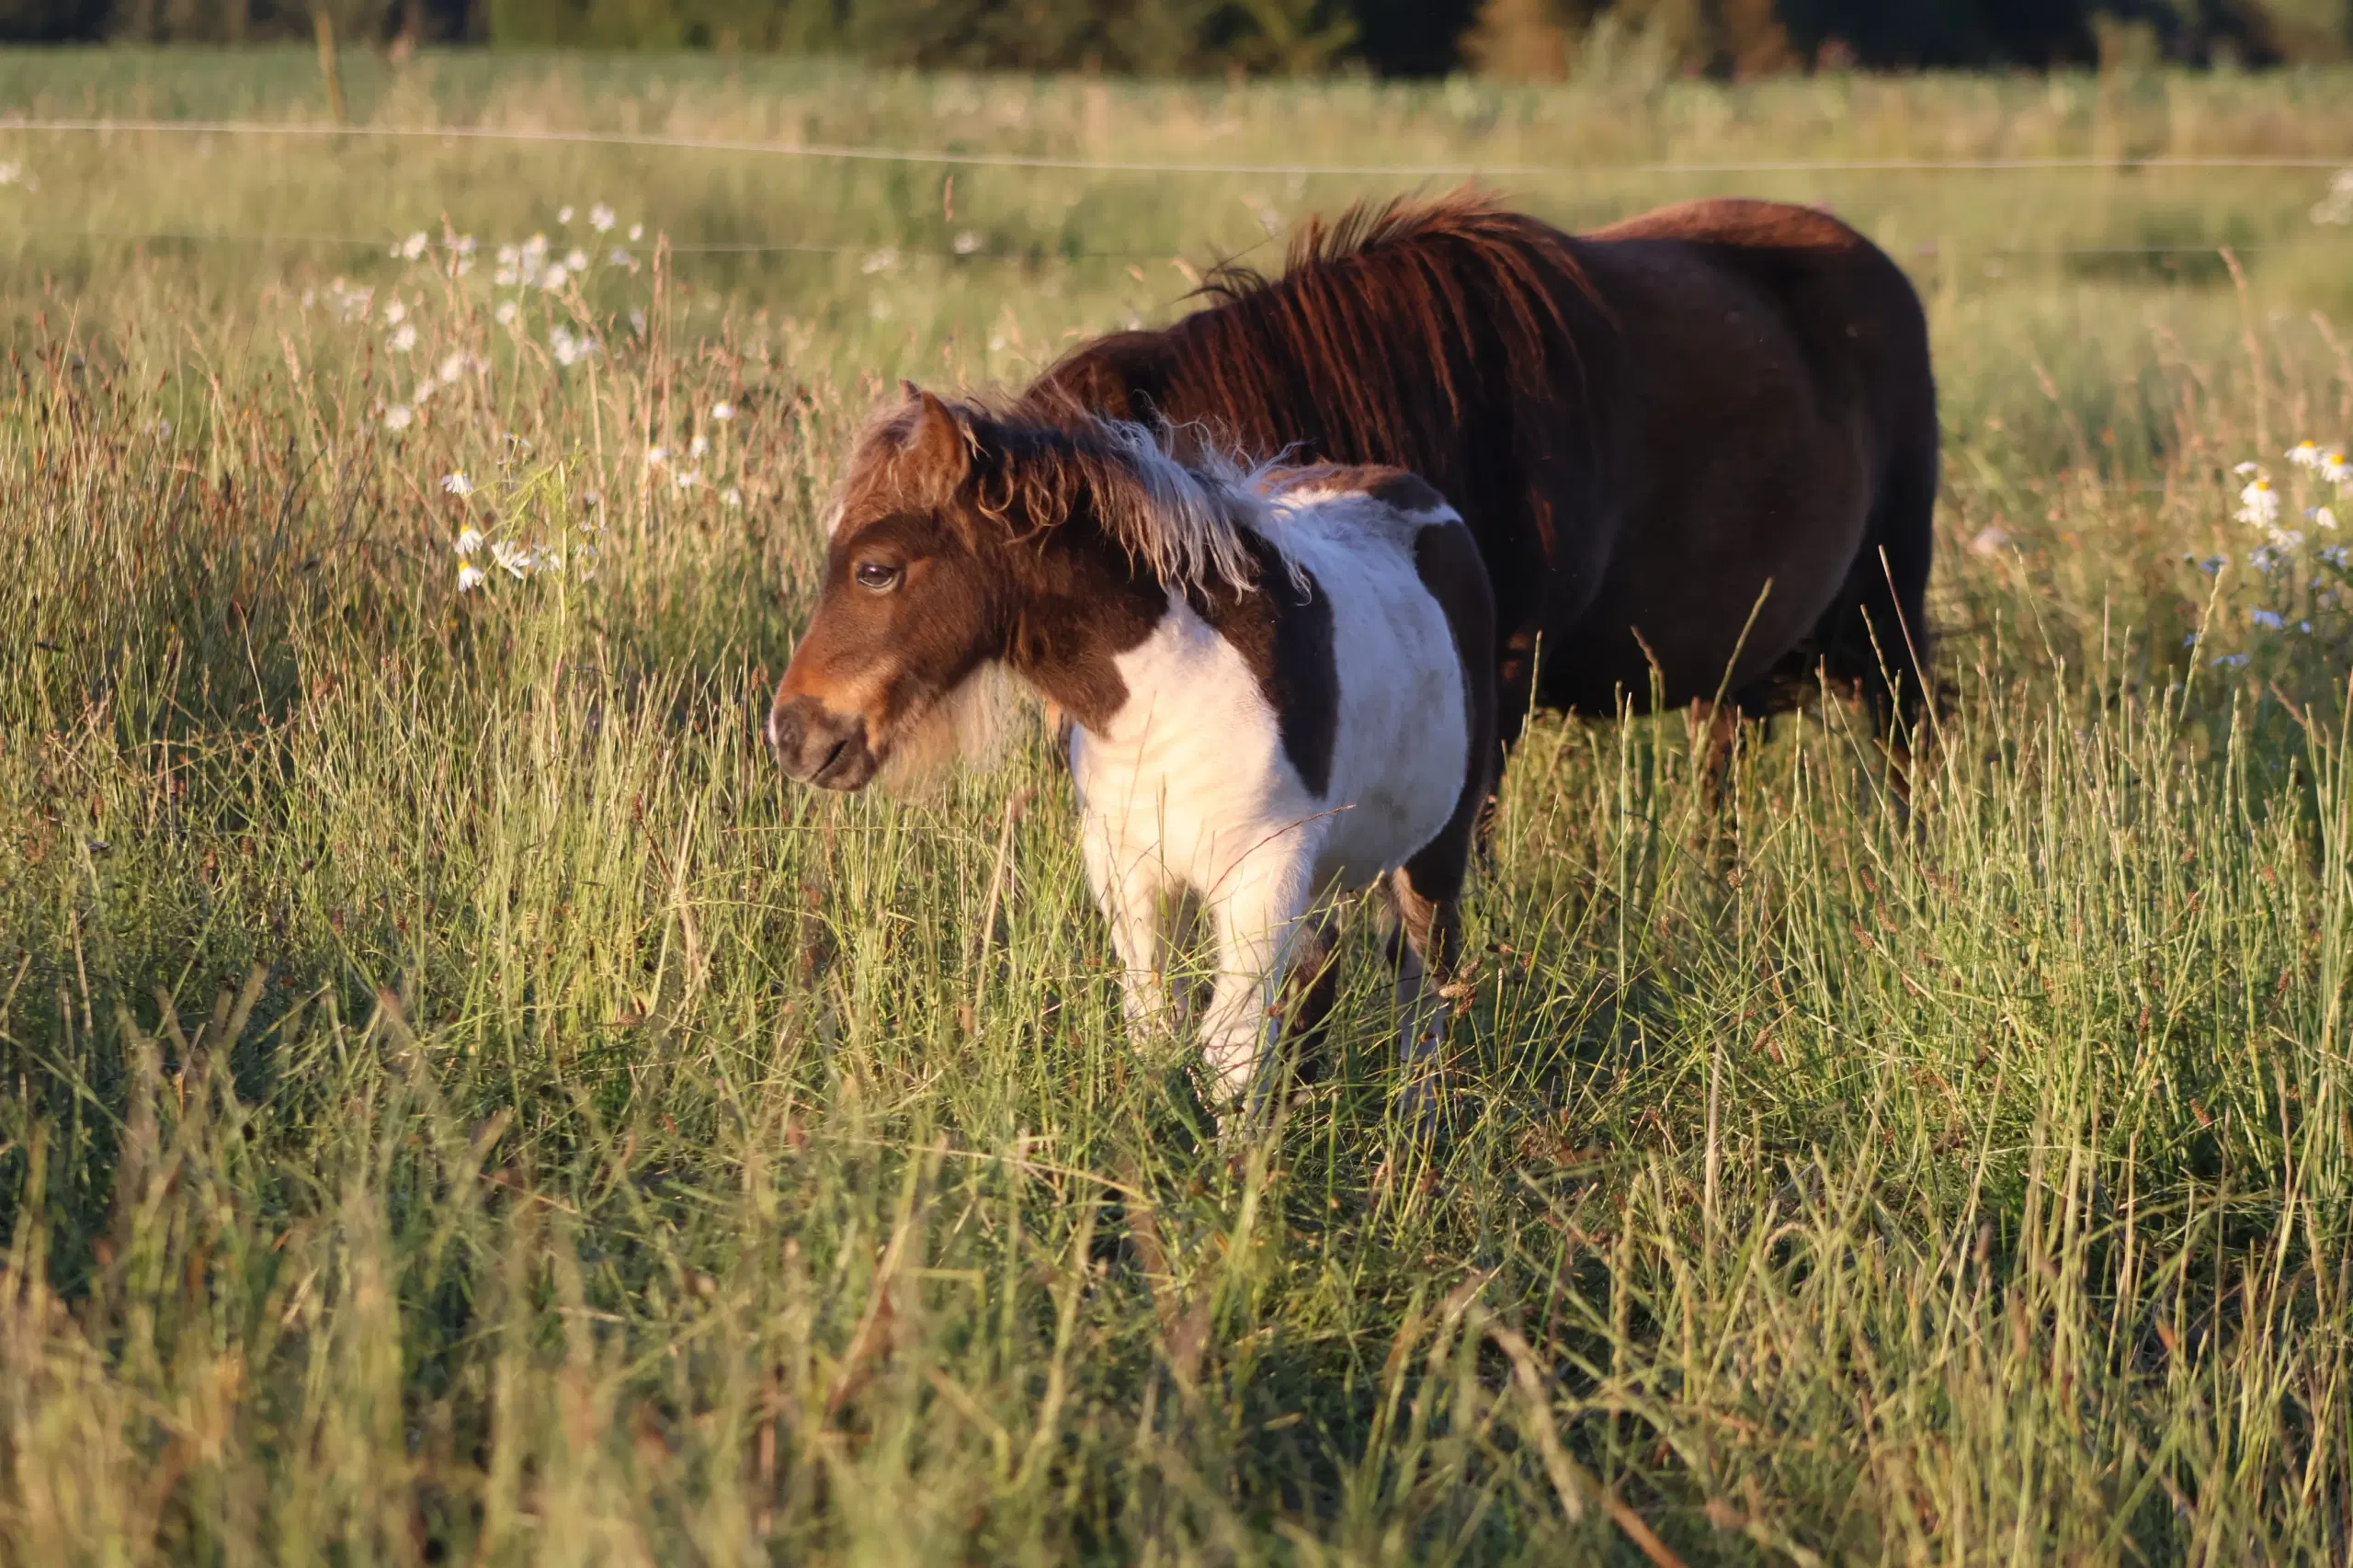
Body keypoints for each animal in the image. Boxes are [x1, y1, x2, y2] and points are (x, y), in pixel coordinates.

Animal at [780, 383, 1496, 1116]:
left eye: (875, 570)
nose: (793, 734)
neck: (1174, 685)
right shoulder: (1128, 869)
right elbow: (1156, 1026)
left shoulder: (1261, 873)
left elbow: (1230, 1050)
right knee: (1318, 978)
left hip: (1433, 848)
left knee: (1423, 978)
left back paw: (1417, 1120)